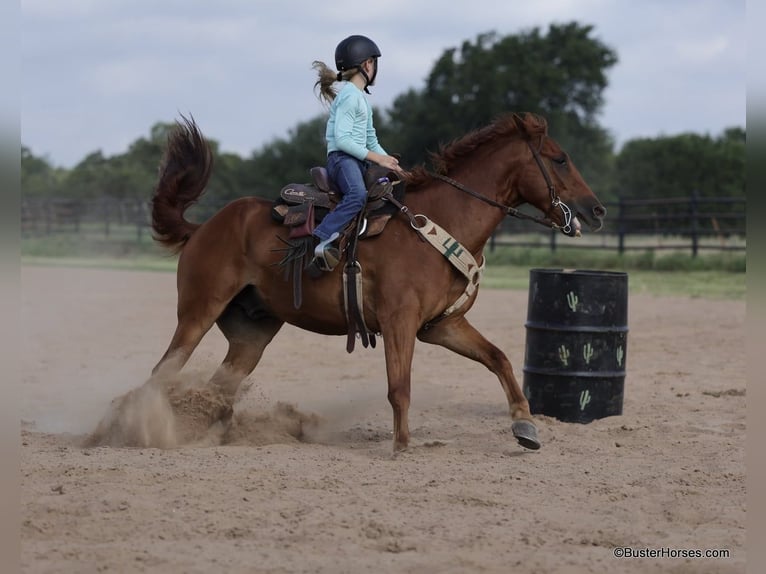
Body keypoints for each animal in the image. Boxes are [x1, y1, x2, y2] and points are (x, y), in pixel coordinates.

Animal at [149, 112, 606, 452]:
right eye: (560, 159)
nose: (597, 210)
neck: (439, 221)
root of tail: (203, 227)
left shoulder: (442, 326)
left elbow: (499, 358)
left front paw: (525, 426)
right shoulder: (398, 321)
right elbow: (399, 387)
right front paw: (402, 445)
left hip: (252, 334)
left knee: (218, 388)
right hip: (197, 313)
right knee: (162, 372)